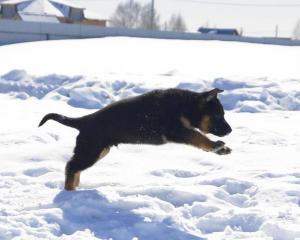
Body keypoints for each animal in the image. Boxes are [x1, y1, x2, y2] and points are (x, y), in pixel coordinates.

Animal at [38, 87, 232, 190]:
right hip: (90, 150)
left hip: (100, 150)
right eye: (218, 116)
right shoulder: (177, 130)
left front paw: (221, 149)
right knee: (71, 166)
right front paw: (216, 145)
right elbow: (198, 136)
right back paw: (69, 190)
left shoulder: (182, 130)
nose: (230, 130)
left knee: (74, 167)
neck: (186, 105)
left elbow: (199, 139)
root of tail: (84, 120)